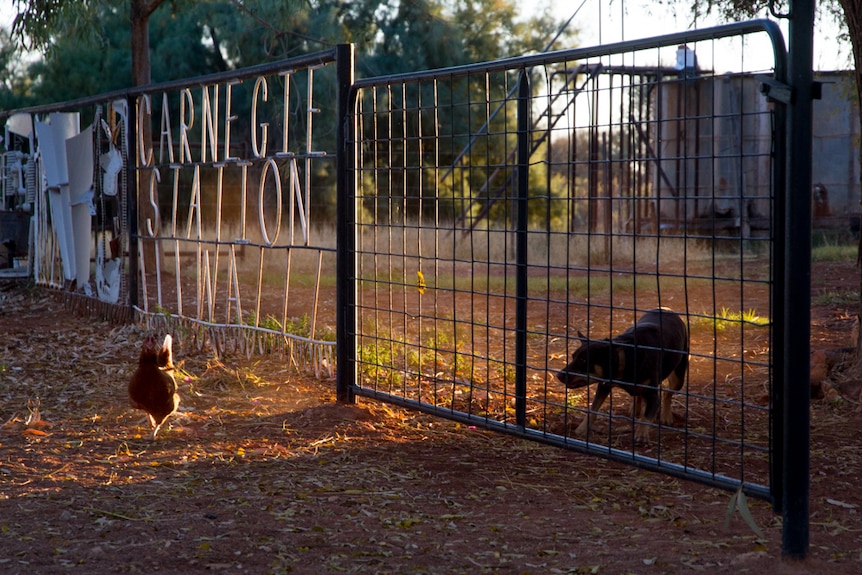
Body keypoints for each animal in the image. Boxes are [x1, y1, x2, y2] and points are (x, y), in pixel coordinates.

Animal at [556, 308, 692, 444]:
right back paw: (635, 408)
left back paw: (666, 416)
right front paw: (582, 428)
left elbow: (646, 416)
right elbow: (593, 409)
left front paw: (642, 434)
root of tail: (666, 309)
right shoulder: (604, 385)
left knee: (667, 393)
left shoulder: (652, 395)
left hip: (679, 376)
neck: (625, 358)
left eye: (584, 360)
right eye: (573, 357)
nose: (558, 375)